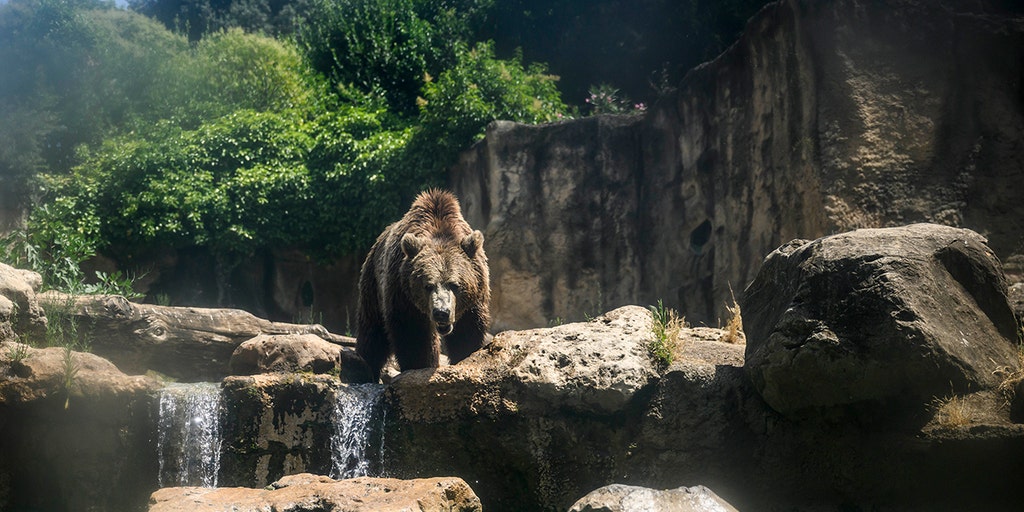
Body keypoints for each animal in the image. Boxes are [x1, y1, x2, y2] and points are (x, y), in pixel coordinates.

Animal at [355, 189, 491, 382]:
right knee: (373, 332)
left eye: (455, 284)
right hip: (372, 283)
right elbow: (413, 336)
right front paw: (419, 367)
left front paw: (466, 356)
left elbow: (468, 330)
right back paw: (364, 368)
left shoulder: (474, 298)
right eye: (428, 285)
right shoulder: (402, 294)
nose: (442, 312)